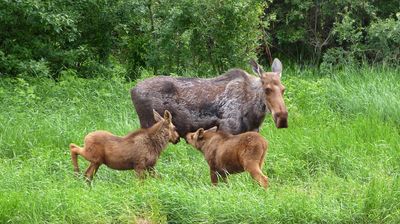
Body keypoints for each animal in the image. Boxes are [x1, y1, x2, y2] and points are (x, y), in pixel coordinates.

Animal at [131, 58, 288, 138]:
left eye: (283, 89)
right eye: (267, 89)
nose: (282, 116)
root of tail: (132, 90)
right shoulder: (227, 127)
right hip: (148, 123)